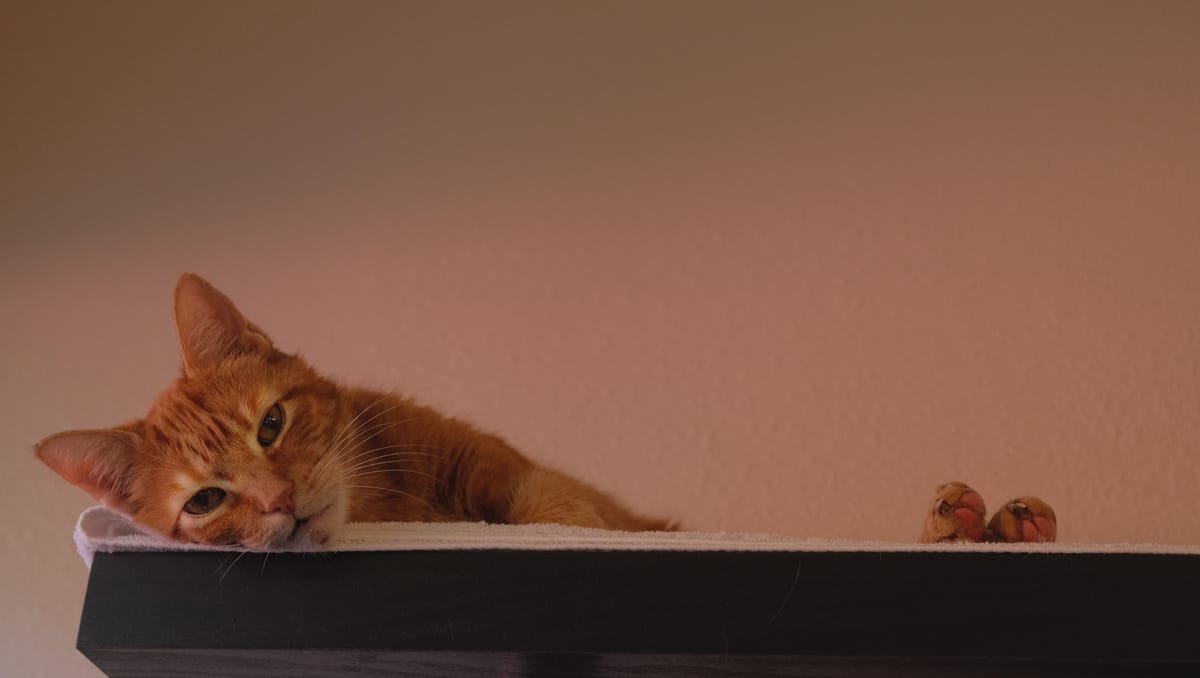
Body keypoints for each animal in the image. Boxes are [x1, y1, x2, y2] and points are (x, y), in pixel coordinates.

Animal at [37, 272, 672, 547]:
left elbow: (557, 512)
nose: (280, 500)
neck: (387, 508)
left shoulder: (503, 469)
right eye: (205, 501)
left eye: (271, 425)